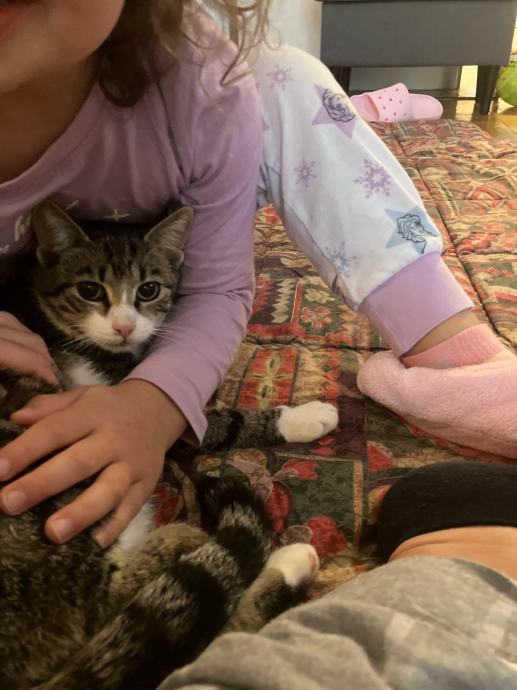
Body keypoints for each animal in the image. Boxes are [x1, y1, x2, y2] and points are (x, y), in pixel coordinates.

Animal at [0, 200, 339, 690]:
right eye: (89, 290)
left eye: (148, 290)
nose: (124, 327)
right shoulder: (132, 412)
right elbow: (217, 420)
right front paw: (303, 417)